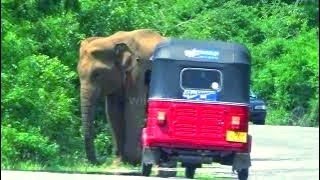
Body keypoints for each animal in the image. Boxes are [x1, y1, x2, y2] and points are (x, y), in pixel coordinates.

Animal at [78, 29, 168, 165]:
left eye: (97, 74)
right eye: (78, 73)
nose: (98, 162)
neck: (112, 40)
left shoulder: (138, 71)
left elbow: (133, 108)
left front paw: (134, 160)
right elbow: (113, 110)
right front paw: (119, 161)